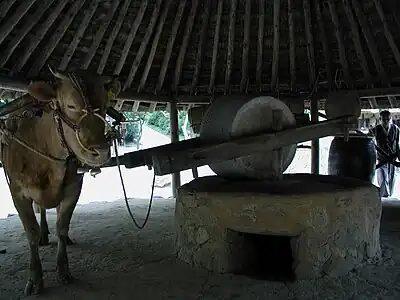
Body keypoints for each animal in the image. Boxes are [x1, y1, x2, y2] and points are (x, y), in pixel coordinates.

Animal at [0, 68, 121, 296]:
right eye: (71, 106)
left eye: (105, 105)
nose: (100, 150)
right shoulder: (17, 192)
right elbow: (31, 232)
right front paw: (35, 278)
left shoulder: (73, 188)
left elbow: (62, 227)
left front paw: (63, 269)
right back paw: (43, 235)